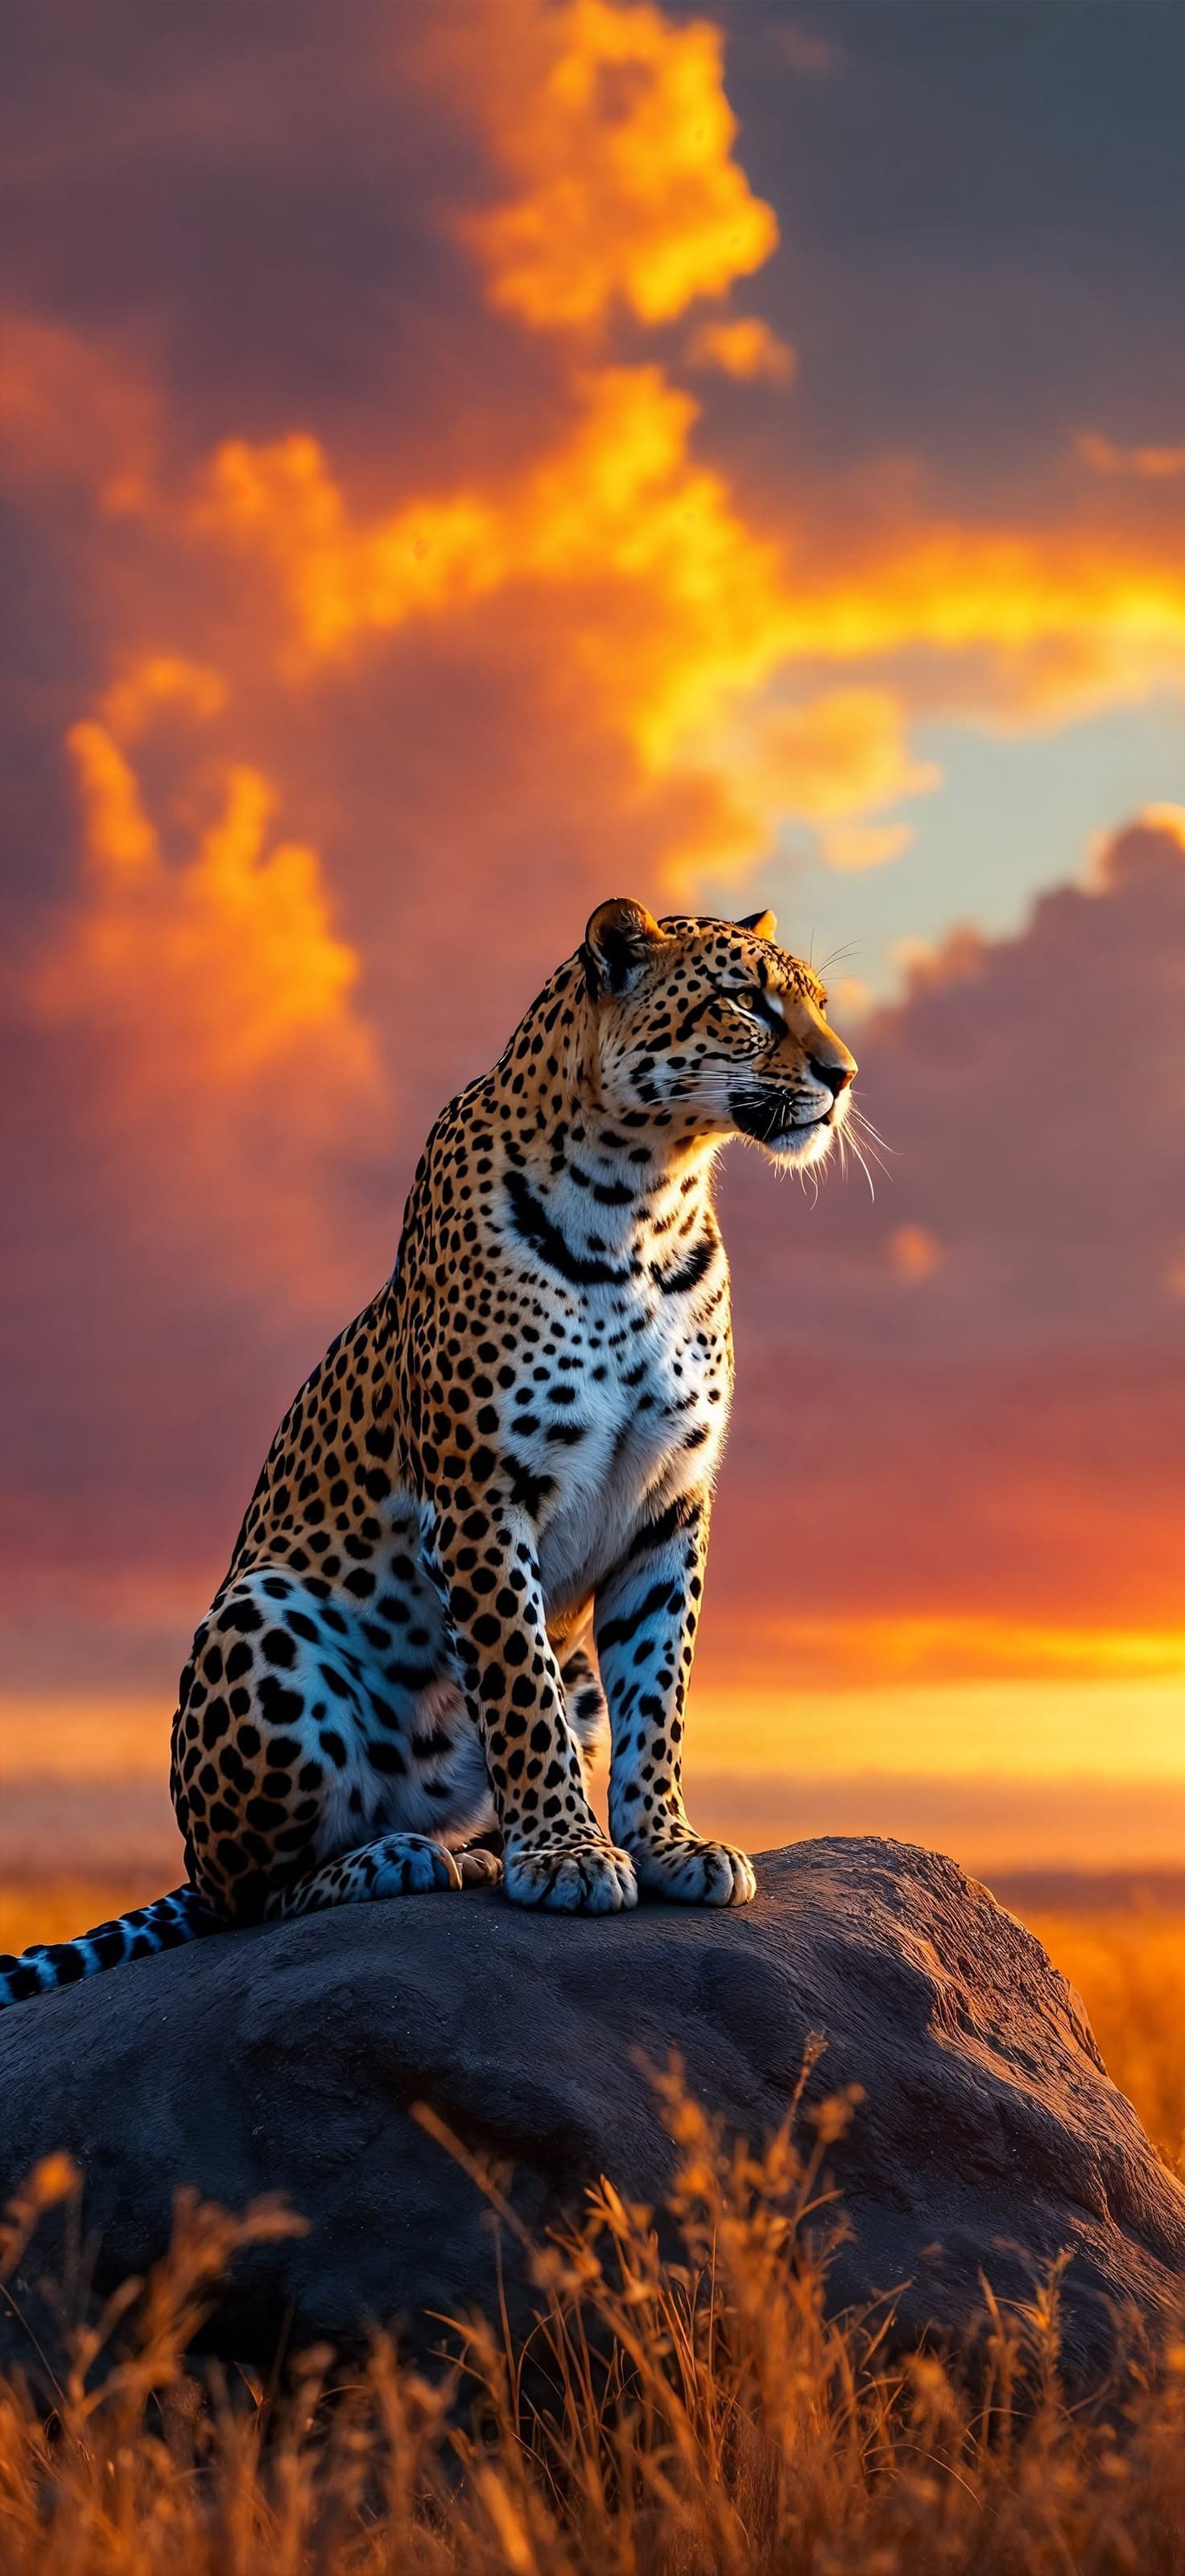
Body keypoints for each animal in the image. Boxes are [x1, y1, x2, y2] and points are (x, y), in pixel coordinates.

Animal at [0, 900, 857, 2006]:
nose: (844, 1073)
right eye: (745, 1001)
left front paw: (666, 1841)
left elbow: (658, 1689)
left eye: (819, 1003)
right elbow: (519, 1689)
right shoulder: (482, 1498)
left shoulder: (669, 1506)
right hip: (260, 1619)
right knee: (243, 1895)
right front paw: (567, 1855)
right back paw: (400, 1857)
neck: (647, 1202)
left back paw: (476, 1848)